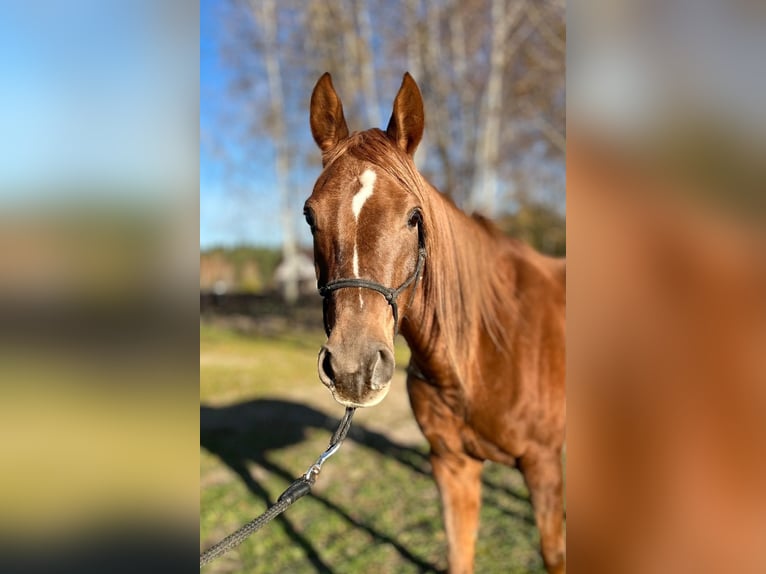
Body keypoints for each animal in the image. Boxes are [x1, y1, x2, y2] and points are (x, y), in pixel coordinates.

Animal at [308, 73, 568, 574]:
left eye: (414, 217)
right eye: (310, 216)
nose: (353, 368)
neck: (479, 355)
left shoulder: (544, 468)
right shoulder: (452, 466)